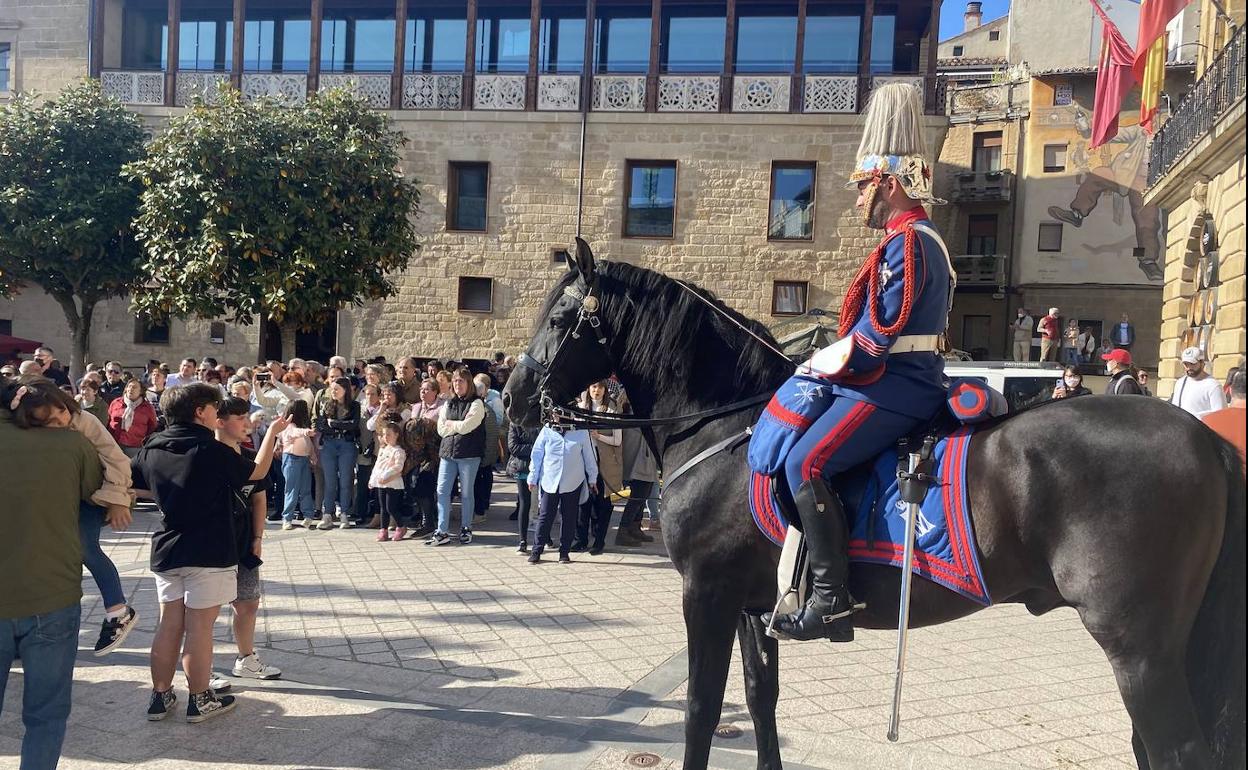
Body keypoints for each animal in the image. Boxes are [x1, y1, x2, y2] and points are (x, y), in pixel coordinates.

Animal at [501, 242, 1243, 768]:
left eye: (562, 317)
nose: (512, 399)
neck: (725, 424)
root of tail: (1206, 437)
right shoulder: (750, 604)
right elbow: (760, 701)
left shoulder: (706, 594)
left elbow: (702, 708)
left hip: (1138, 648)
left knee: (1173, 749)